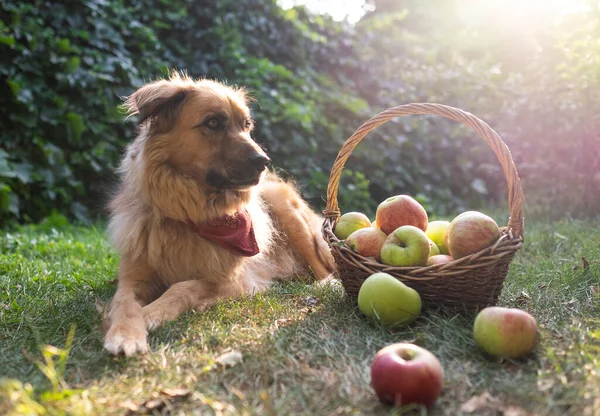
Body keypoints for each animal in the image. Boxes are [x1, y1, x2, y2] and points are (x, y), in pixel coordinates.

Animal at [103, 73, 338, 356]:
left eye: (246, 125)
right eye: (213, 122)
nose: (264, 161)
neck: (189, 215)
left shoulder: (234, 281)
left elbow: (185, 286)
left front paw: (152, 312)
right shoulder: (132, 277)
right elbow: (124, 303)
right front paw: (125, 334)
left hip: (284, 207)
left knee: (322, 268)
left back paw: (326, 284)